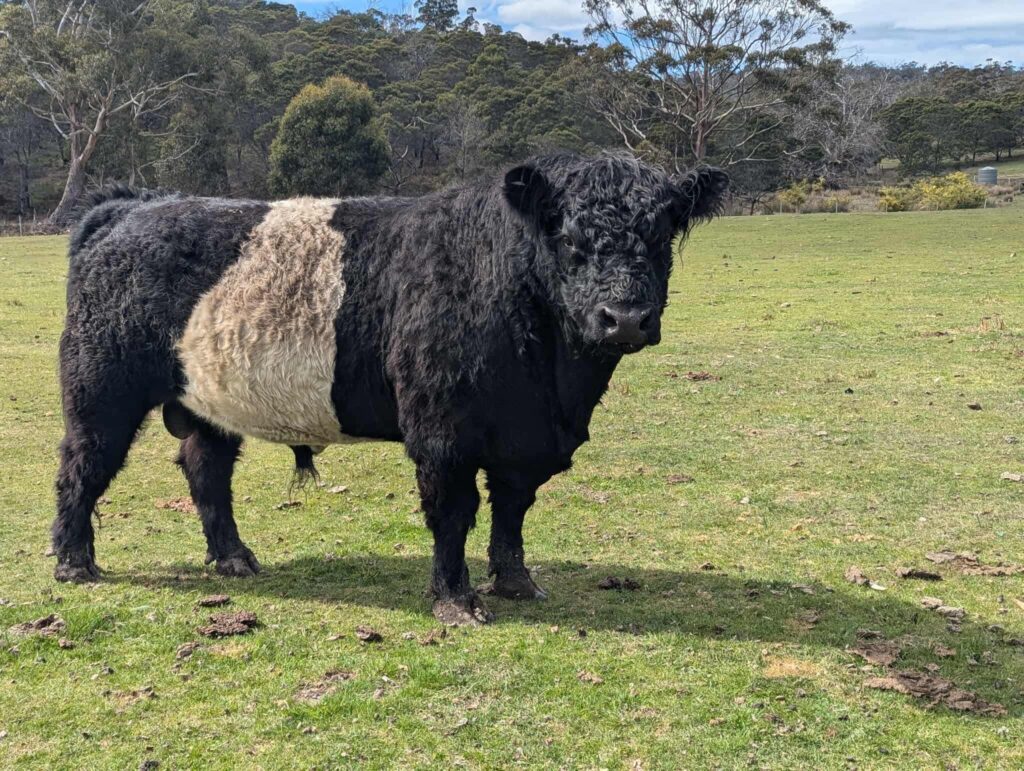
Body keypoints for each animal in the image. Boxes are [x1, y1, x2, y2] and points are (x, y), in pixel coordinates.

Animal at [53, 153, 728, 625]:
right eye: (568, 239)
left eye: (662, 236)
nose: (626, 318)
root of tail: (129, 207)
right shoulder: (442, 431)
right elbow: (454, 511)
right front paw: (456, 600)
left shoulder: (524, 439)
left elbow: (511, 510)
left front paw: (516, 583)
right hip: (101, 390)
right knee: (83, 467)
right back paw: (74, 563)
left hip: (208, 402)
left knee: (206, 470)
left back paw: (234, 558)